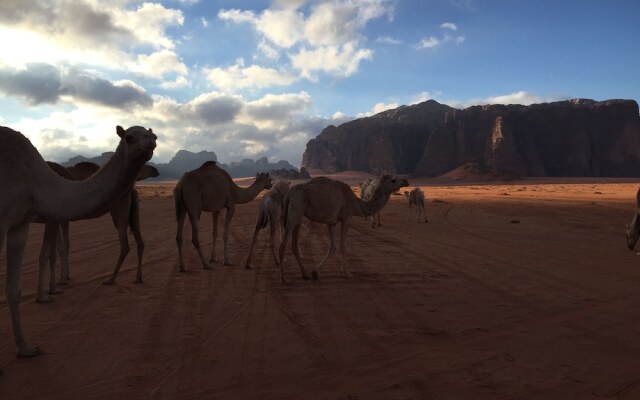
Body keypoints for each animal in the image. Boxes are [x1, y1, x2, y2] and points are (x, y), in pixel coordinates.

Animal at [0, 124, 156, 360]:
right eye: (129, 137)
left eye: (153, 134)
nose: (151, 143)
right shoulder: (16, 221)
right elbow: (50, 253)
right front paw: (48, 292)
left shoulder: (21, 223)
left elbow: (15, 286)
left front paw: (26, 348)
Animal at [276, 175, 408, 284]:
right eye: (393, 180)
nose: (406, 181)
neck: (357, 204)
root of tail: (288, 195)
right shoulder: (347, 218)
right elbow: (342, 247)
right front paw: (347, 274)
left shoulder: (332, 223)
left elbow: (332, 247)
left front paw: (315, 272)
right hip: (295, 211)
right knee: (283, 246)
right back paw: (284, 279)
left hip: (297, 216)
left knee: (294, 246)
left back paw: (304, 274)